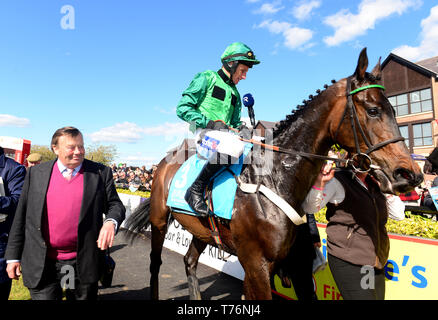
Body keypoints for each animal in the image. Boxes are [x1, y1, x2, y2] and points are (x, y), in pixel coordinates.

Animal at [124, 48, 424, 300]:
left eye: (394, 109)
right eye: (373, 110)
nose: (409, 174)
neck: (276, 179)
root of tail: (166, 161)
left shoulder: (297, 267)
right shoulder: (256, 266)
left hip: (201, 230)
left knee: (189, 262)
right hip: (159, 221)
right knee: (155, 263)